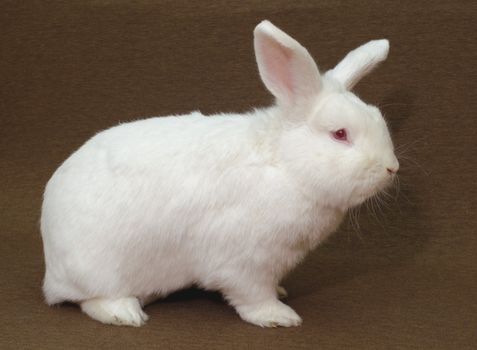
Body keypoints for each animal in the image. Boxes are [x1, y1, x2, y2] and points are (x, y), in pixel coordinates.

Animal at [41, 20, 398, 326]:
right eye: (340, 134)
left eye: (377, 116)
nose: (392, 167)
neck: (284, 165)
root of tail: (51, 268)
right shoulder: (246, 261)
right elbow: (252, 296)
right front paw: (279, 316)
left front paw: (282, 294)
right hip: (101, 269)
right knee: (92, 299)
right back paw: (125, 314)